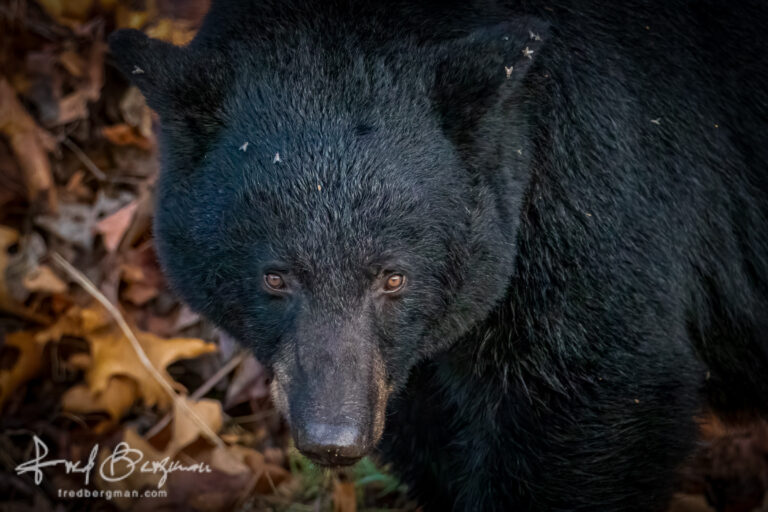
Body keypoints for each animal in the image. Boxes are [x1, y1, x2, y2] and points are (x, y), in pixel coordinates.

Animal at [109, 1, 768, 508]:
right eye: (276, 278)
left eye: (393, 278)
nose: (333, 436)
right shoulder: (402, 368)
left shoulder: (599, 191)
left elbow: (597, 391)